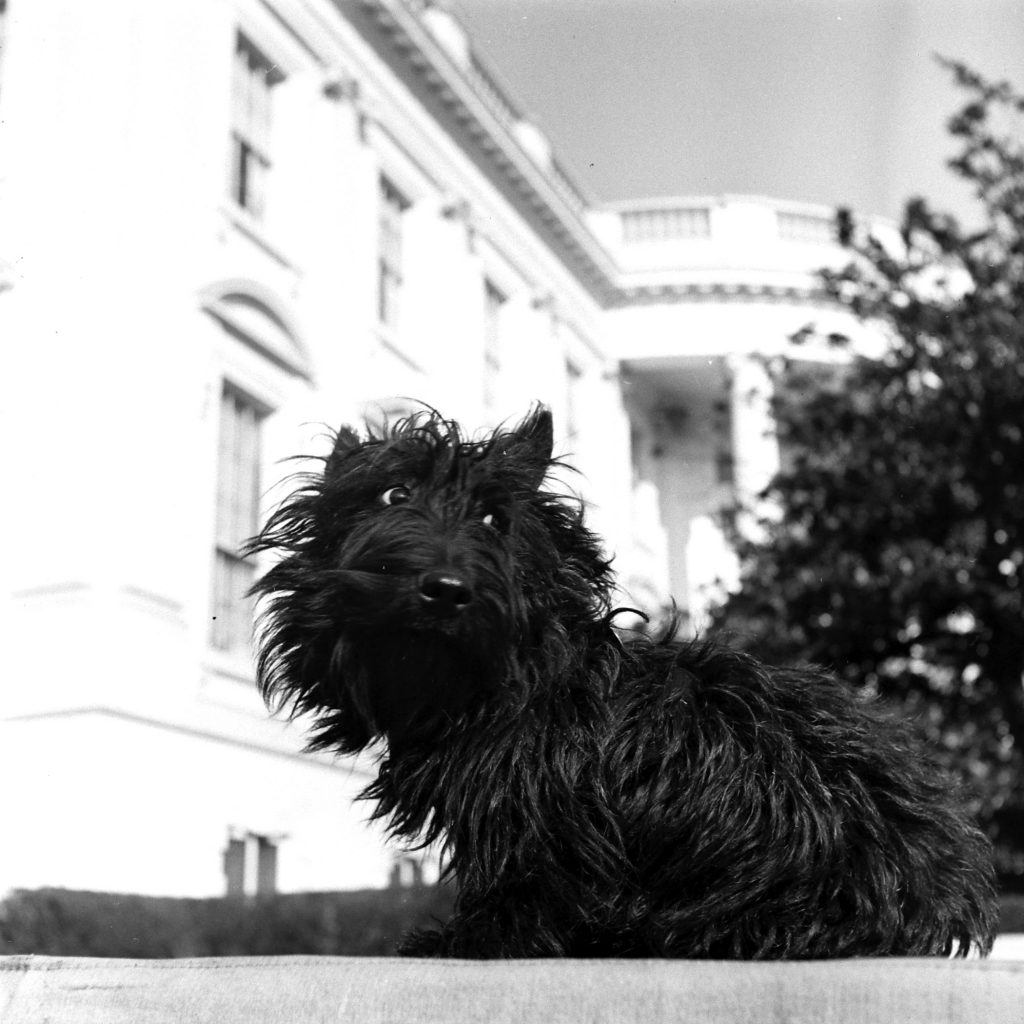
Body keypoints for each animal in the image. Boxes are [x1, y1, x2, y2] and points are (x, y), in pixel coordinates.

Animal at [249, 405, 999, 958]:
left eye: (495, 517)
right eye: (393, 494)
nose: (446, 589)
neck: (501, 684)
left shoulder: (549, 819)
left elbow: (533, 879)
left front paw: (473, 936)